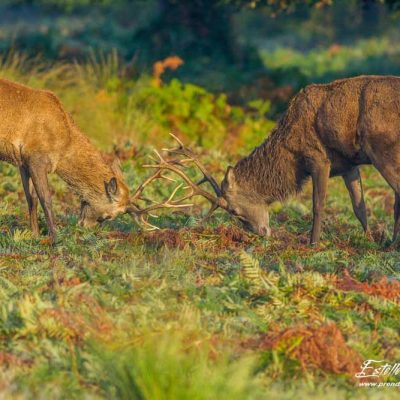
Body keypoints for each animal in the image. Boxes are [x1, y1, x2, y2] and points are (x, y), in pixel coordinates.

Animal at [0, 78, 130, 244]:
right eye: (108, 216)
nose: (85, 228)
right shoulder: (36, 158)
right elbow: (46, 199)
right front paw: (54, 238)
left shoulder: (23, 162)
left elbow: (31, 198)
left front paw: (35, 235)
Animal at [140, 75, 400, 244]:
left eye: (233, 210)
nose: (262, 232)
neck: (289, 156)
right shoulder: (347, 164)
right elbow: (359, 207)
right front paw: (370, 241)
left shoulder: (317, 158)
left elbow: (318, 204)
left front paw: (313, 244)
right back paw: (390, 242)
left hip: (381, 148)